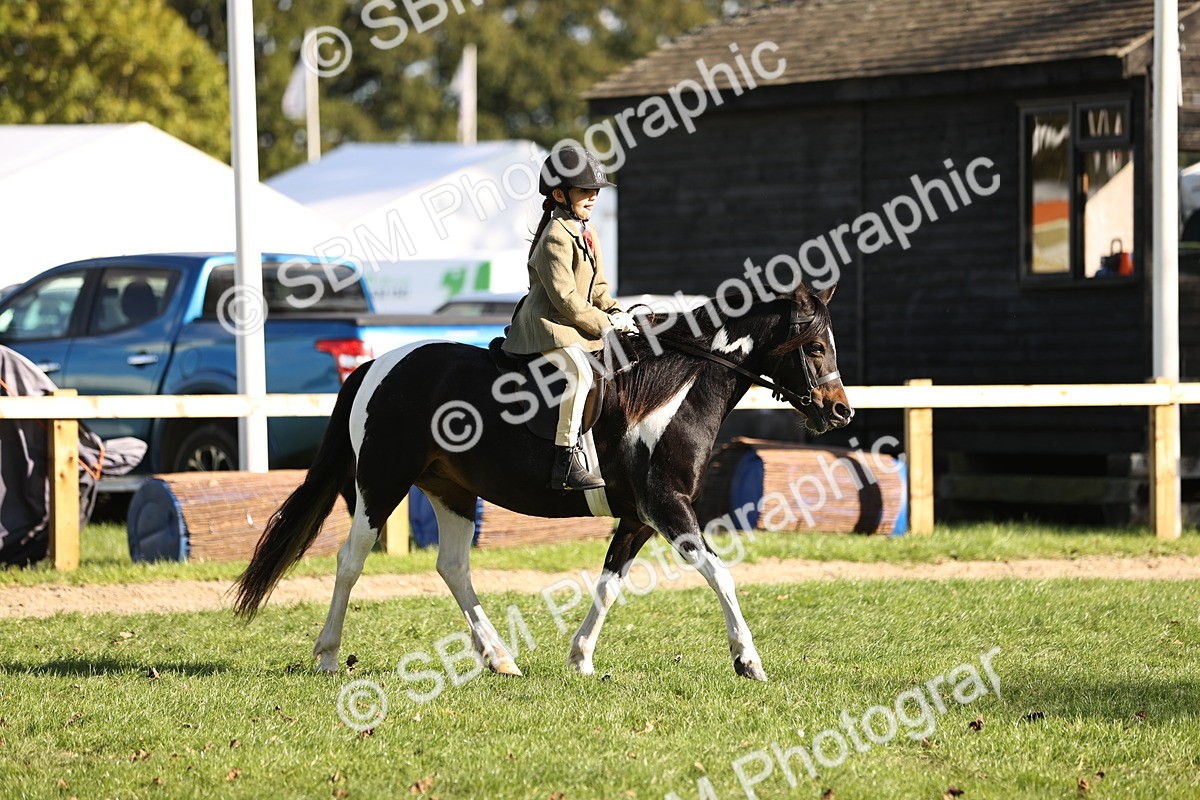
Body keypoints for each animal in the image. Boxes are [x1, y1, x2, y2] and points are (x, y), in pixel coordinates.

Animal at [233, 282, 852, 682]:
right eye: (816, 347)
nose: (840, 412)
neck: (675, 388)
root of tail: (379, 364)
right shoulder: (669, 508)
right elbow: (720, 574)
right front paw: (748, 660)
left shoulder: (638, 518)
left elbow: (609, 585)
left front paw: (580, 659)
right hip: (381, 484)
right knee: (351, 559)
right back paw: (327, 654)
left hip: (452, 491)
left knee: (452, 567)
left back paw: (499, 658)